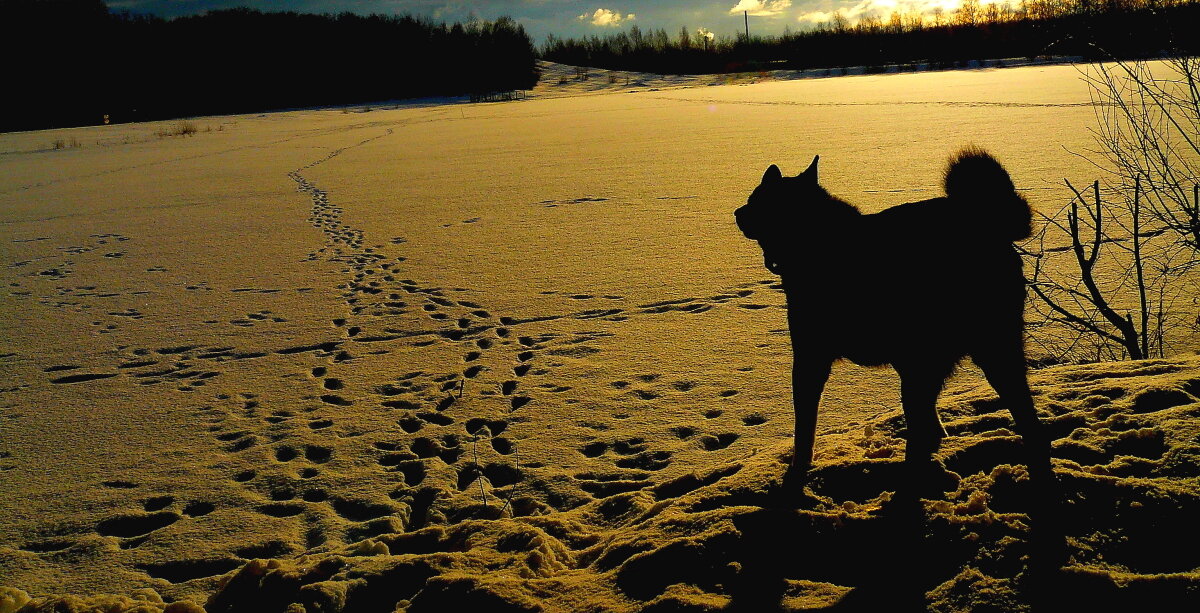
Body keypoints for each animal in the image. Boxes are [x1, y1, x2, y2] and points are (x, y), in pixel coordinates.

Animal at [734, 148, 1056, 489]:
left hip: (956, 353)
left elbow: (804, 427)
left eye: (758, 200)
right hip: (968, 356)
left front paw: (797, 472)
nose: (738, 213)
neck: (821, 243)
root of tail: (989, 224)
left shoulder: (811, 359)